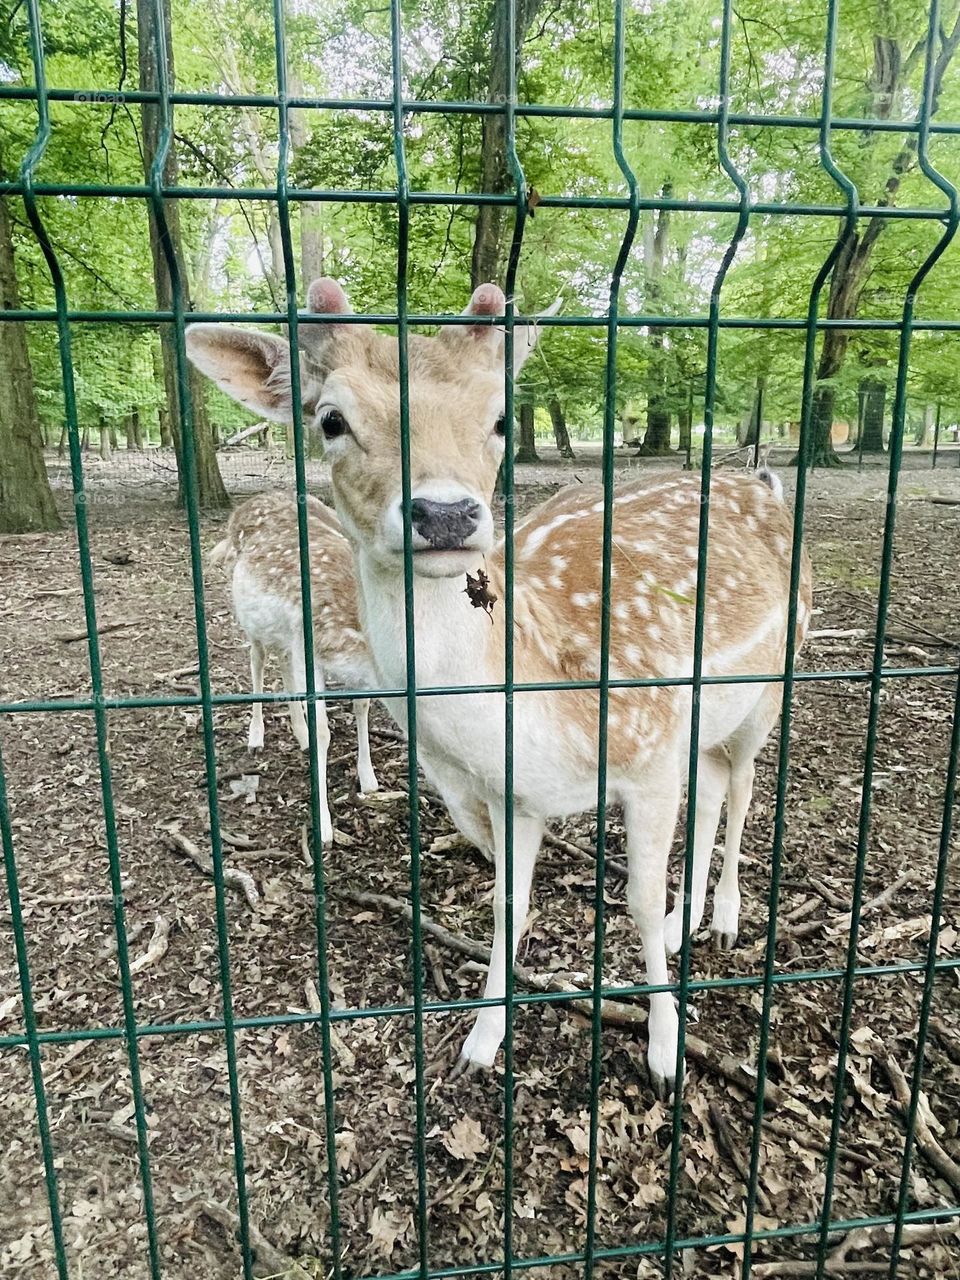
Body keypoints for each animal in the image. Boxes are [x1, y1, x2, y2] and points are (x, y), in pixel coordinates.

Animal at [208, 490, 379, 843]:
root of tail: (242, 508)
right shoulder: (308, 649)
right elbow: (324, 731)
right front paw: (324, 828)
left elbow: (362, 707)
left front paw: (369, 779)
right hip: (251, 618)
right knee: (257, 658)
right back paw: (256, 736)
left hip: (285, 633)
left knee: (282, 661)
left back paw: (299, 734)